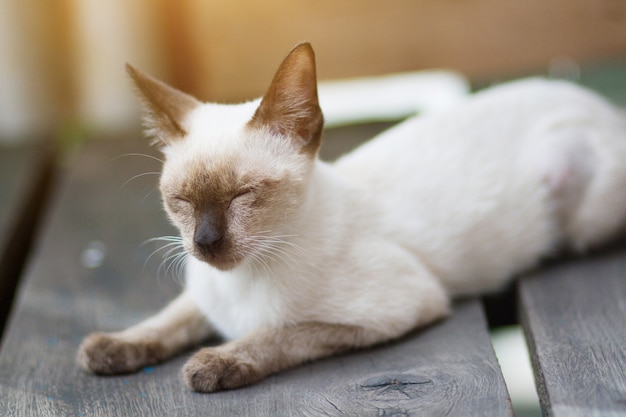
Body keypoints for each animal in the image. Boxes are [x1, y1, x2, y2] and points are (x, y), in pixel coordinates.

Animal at [77, 41, 624, 390]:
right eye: (182, 201)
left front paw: (214, 364)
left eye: (242, 196)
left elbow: (280, 334)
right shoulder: (202, 293)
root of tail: (602, 104)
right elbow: (168, 319)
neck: (244, 281)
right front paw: (110, 348)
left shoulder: (399, 306)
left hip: (579, 203)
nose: (205, 242)